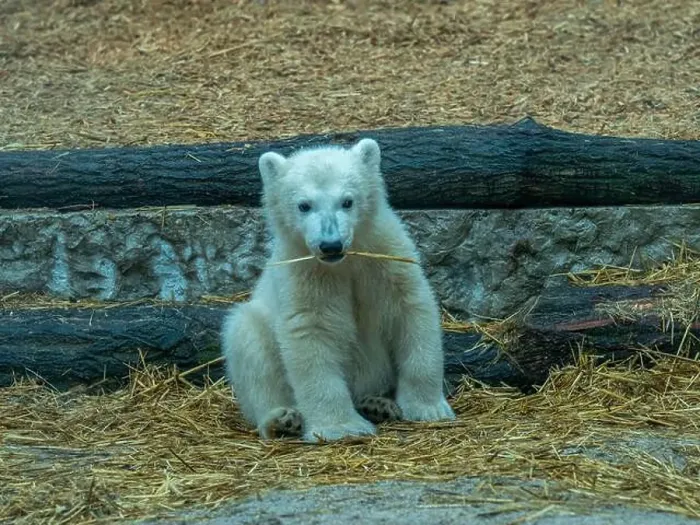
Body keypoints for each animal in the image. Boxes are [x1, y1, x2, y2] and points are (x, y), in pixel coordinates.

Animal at [221, 137, 456, 443]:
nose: (330, 245)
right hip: (256, 329)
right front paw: (341, 427)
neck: (345, 263)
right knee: (248, 342)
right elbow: (311, 331)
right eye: (304, 205)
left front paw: (429, 408)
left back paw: (377, 404)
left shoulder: (386, 258)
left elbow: (411, 311)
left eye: (347, 201)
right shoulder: (305, 275)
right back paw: (281, 419)